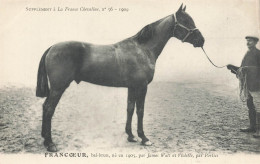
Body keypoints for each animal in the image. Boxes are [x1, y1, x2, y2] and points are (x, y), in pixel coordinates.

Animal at [35, 4, 204, 152]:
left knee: (45, 107)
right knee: (49, 109)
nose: (201, 40)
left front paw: (130, 136)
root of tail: (52, 48)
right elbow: (140, 111)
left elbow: (130, 108)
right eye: (186, 21)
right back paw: (50, 143)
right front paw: (144, 138)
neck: (142, 49)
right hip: (58, 88)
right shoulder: (142, 87)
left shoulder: (132, 87)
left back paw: (44, 138)